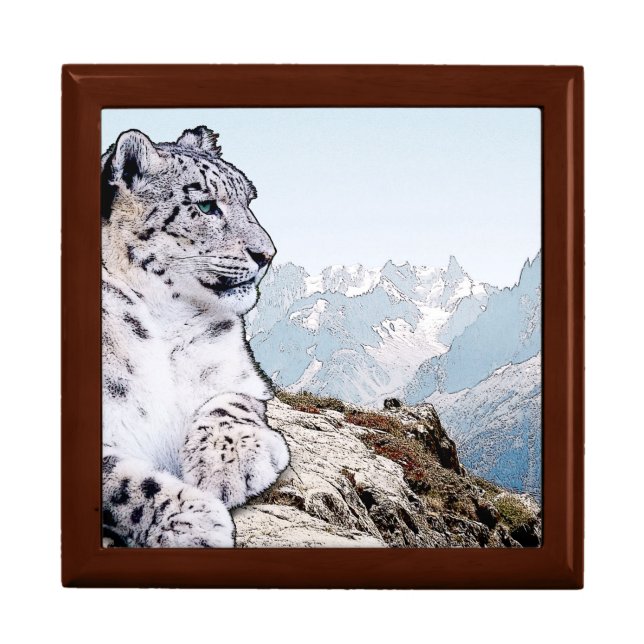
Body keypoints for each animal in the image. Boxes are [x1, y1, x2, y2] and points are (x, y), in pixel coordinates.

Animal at [101, 126, 289, 547]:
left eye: (248, 200)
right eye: (205, 206)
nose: (267, 255)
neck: (164, 322)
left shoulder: (237, 374)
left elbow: (228, 403)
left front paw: (229, 465)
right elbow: (117, 482)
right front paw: (190, 523)